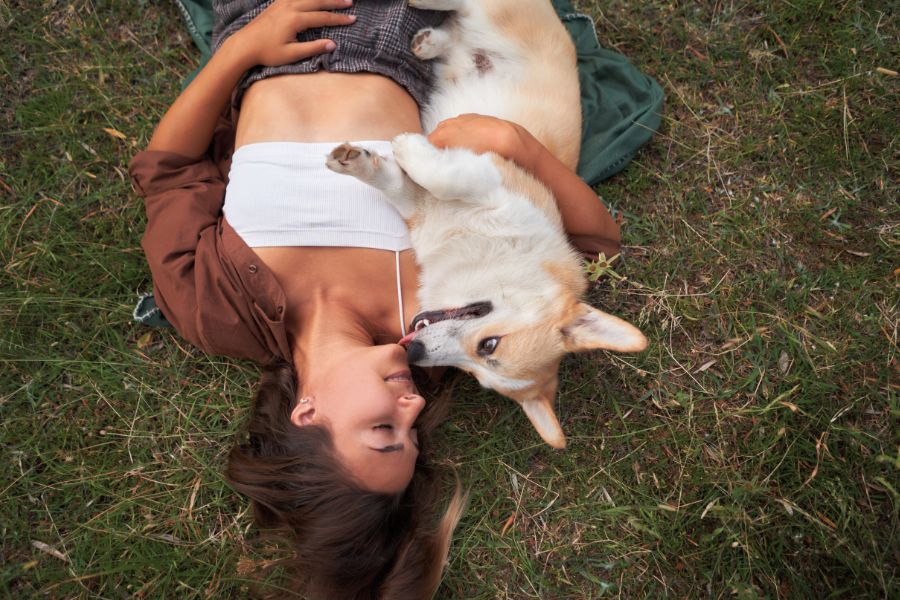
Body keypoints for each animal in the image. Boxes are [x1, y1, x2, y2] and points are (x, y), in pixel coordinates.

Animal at [326, 0, 644, 450]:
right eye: (490, 344)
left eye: (476, 370)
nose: (412, 353)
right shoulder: (489, 180)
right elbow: (443, 173)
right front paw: (408, 145)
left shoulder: (420, 201)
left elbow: (392, 178)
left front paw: (361, 160)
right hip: (502, 15)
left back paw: (430, 42)